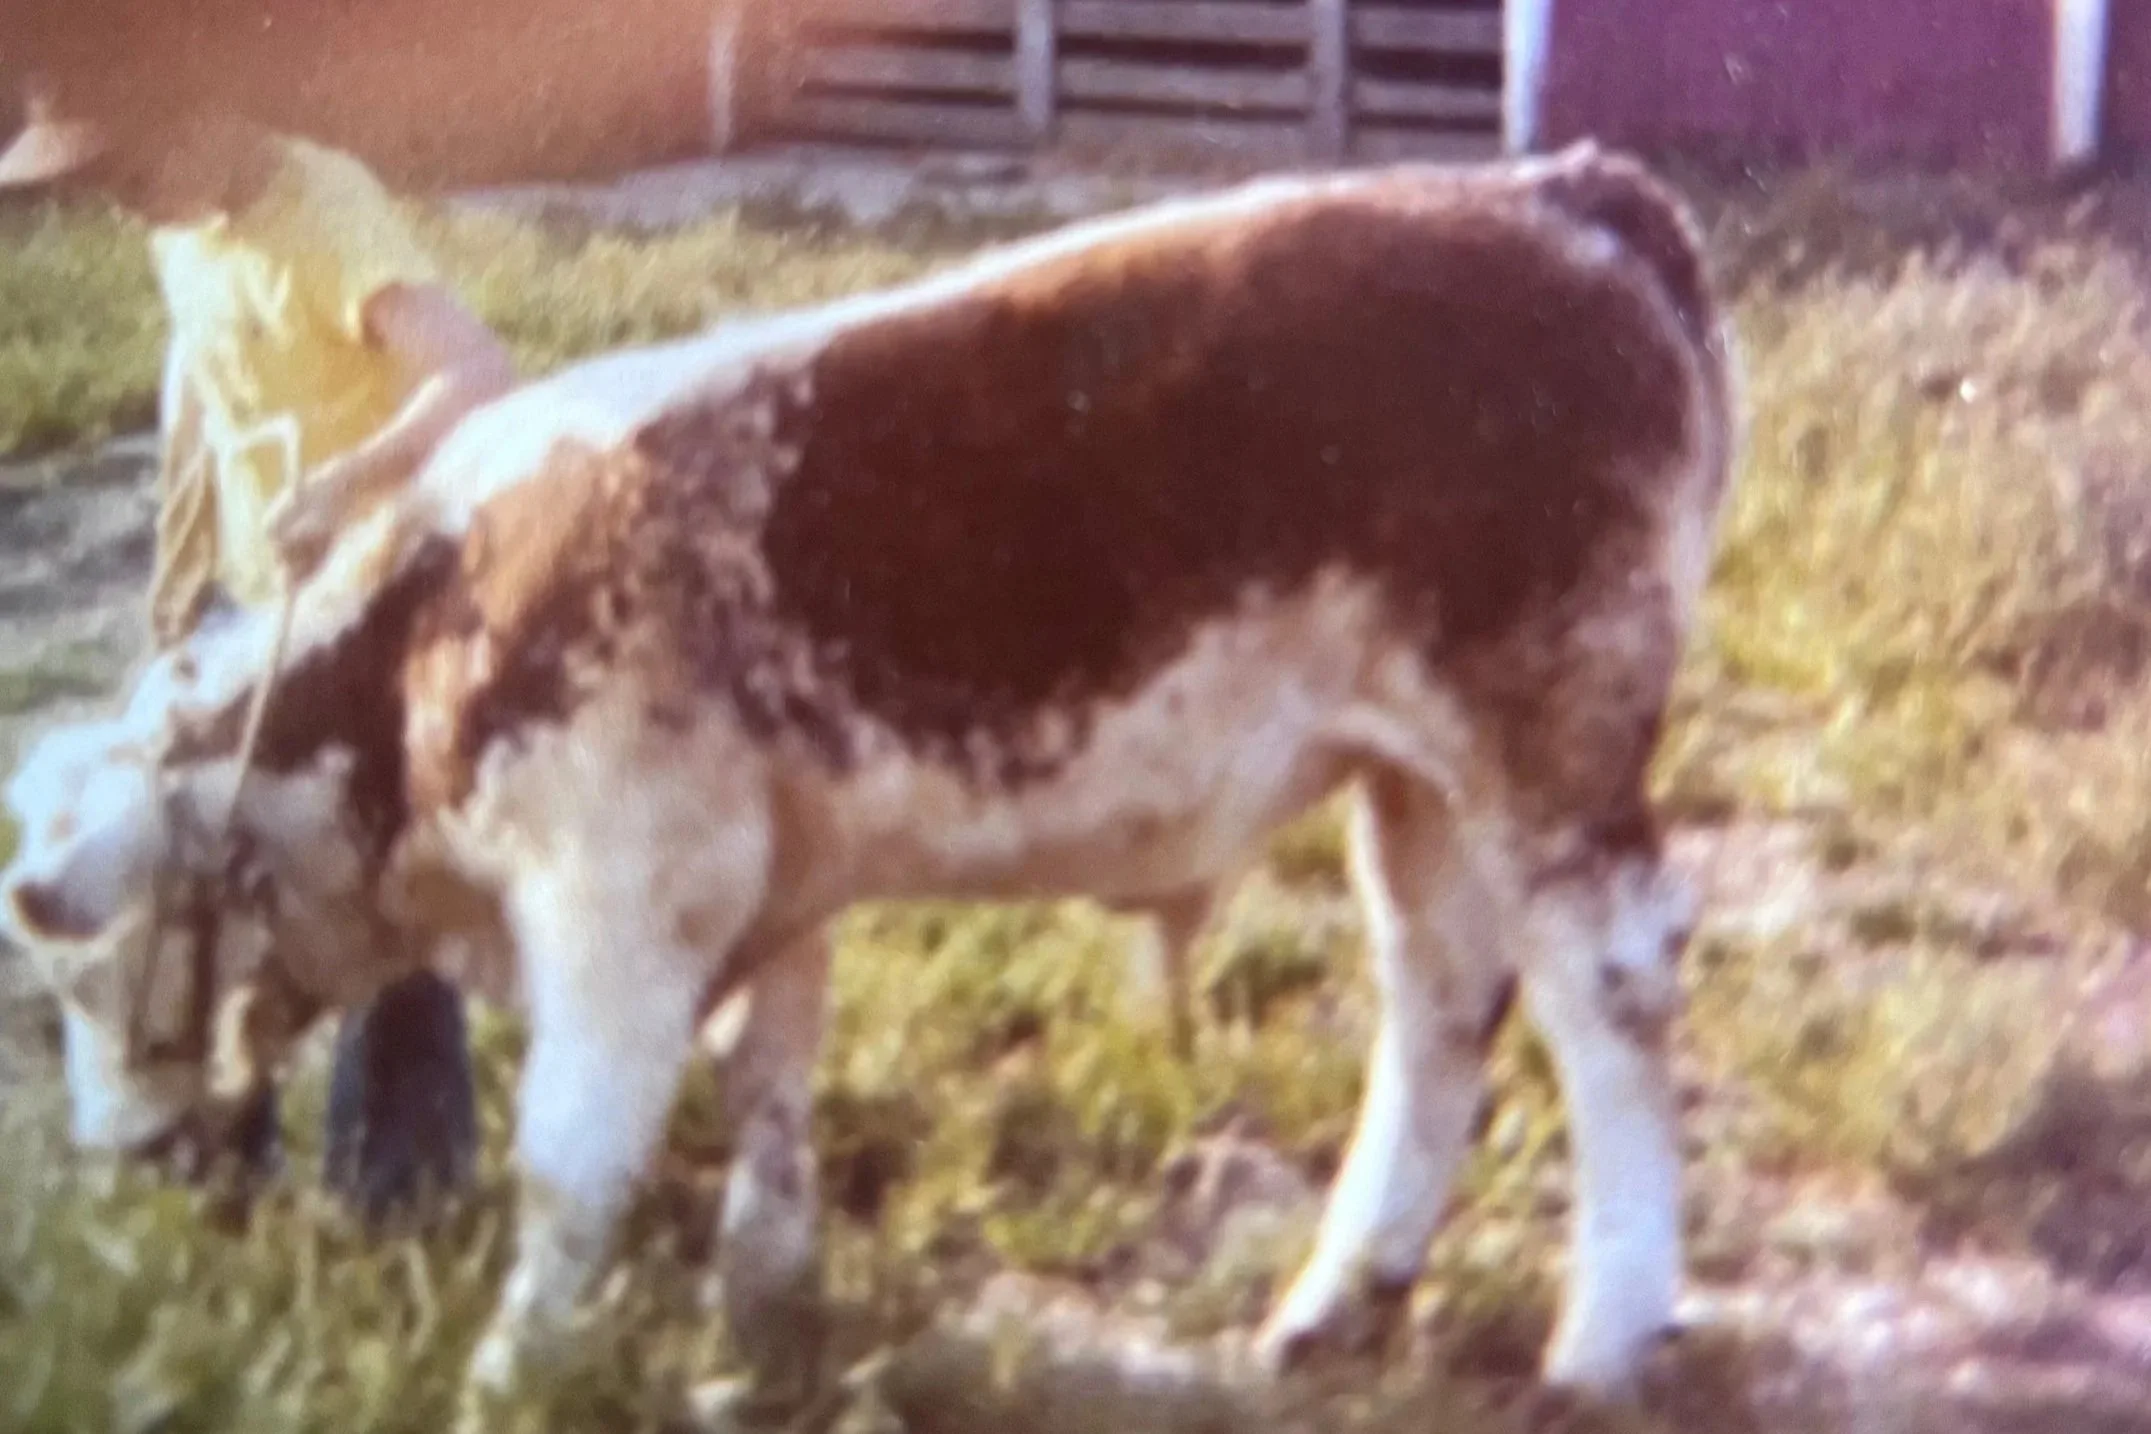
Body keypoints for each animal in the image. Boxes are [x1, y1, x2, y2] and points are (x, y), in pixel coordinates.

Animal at [0, 141, 1736, 1412]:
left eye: (81, 975)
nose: (119, 1168)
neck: (443, 625)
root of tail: (1557, 192)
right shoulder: (771, 880)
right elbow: (768, 1083)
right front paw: (762, 1305)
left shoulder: (614, 907)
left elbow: (571, 1160)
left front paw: (508, 1368)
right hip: (1414, 779)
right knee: (1436, 995)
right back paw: (1334, 1300)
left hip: (1546, 753)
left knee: (1604, 995)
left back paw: (1596, 1339)